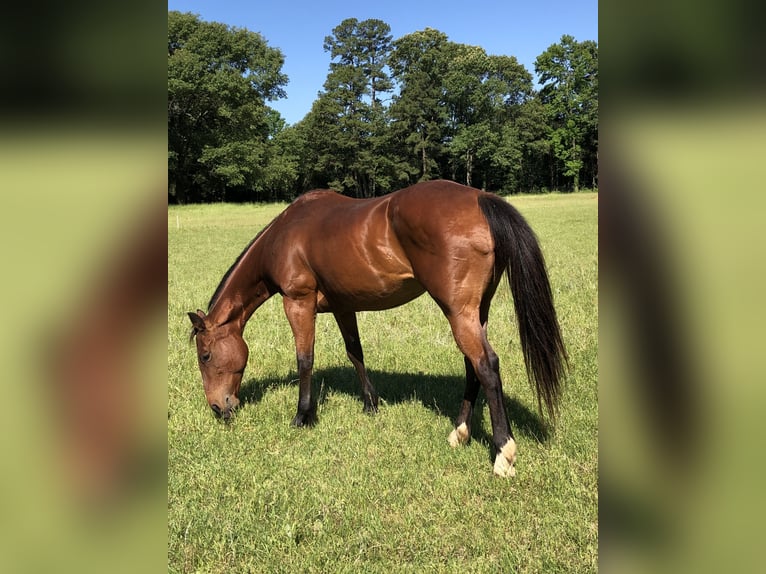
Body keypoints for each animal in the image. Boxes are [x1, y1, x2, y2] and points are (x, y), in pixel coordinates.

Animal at [188, 179, 567, 477]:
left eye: (205, 355)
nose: (218, 407)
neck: (284, 237)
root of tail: (480, 197)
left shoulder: (298, 302)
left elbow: (304, 359)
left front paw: (302, 416)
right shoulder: (343, 307)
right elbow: (355, 352)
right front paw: (371, 404)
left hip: (458, 312)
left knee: (486, 366)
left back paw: (503, 453)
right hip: (476, 312)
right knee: (472, 366)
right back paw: (459, 433)